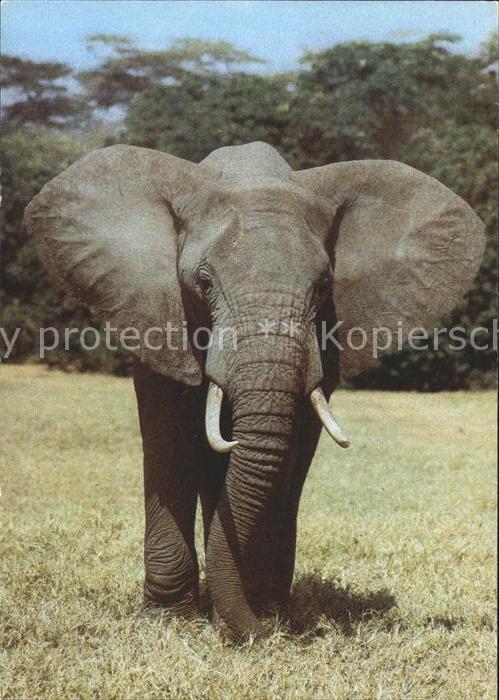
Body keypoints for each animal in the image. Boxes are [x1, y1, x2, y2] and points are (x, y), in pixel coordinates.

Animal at [24, 141, 485, 641]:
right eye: (203, 282)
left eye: (325, 285)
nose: (264, 632)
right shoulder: (154, 313)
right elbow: (168, 438)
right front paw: (171, 621)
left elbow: (290, 444)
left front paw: (260, 611)